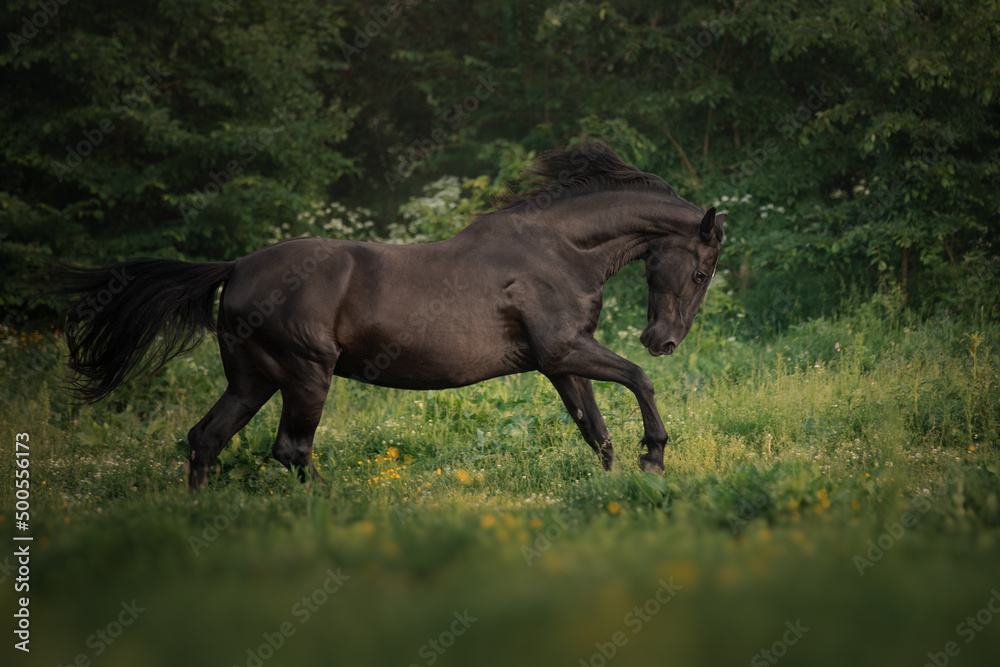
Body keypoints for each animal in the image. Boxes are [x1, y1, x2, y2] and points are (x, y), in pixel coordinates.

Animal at [52, 141, 725, 491]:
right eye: (701, 272)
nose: (662, 339)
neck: (557, 249)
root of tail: (237, 267)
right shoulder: (565, 350)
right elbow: (639, 381)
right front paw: (654, 457)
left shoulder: (558, 362)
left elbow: (595, 429)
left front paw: (617, 487)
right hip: (306, 375)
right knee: (290, 449)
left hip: (253, 379)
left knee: (206, 439)